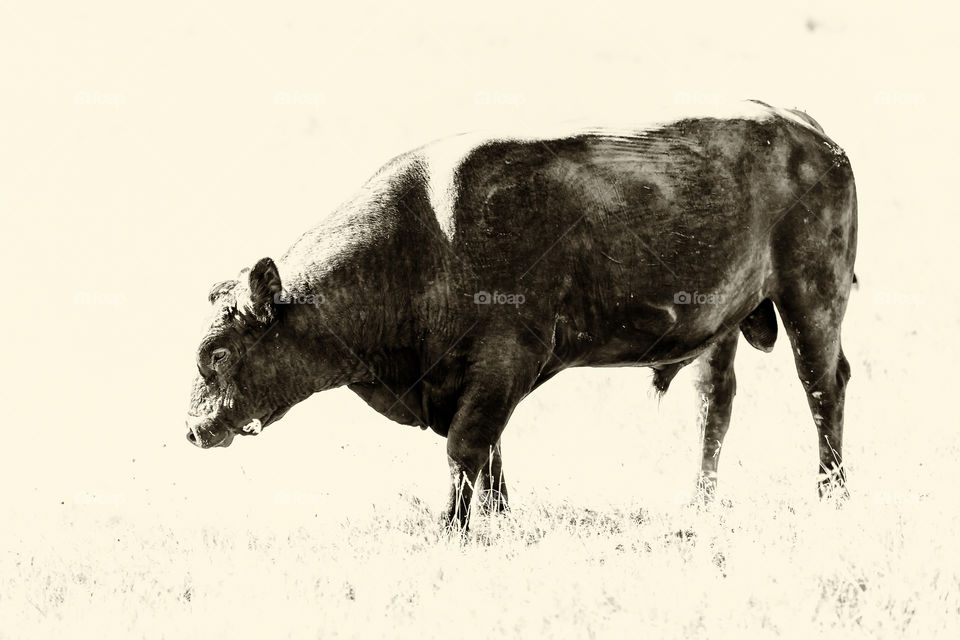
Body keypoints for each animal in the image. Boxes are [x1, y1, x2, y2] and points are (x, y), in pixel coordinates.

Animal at [186, 100, 857, 529]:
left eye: (217, 353)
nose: (194, 429)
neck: (428, 238)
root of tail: (810, 133)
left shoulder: (504, 360)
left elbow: (466, 446)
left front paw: (451, 530)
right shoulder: (479, 378)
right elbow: (490, 453)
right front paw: (498, 517)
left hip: (812, 300)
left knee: (822, 386)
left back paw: (832, 493)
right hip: (725, 325)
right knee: (714, 402)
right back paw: (697, 503)